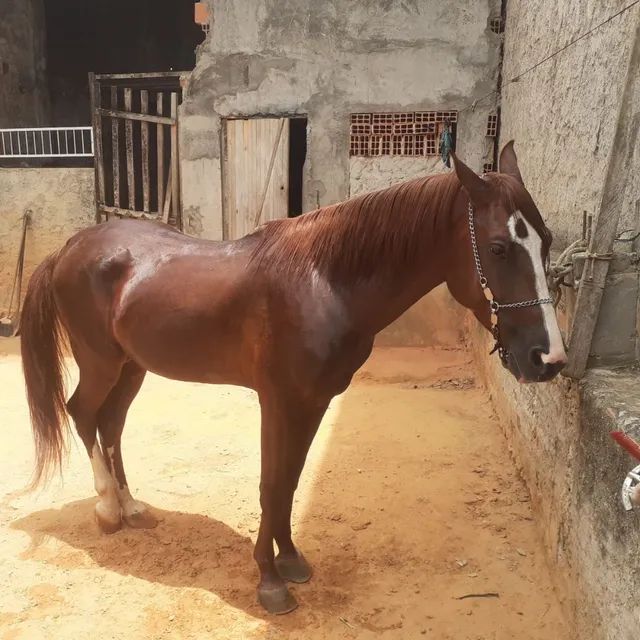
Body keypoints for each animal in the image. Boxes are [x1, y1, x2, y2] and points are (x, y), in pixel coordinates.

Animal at [20, 141, 564, 616]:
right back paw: (108, 510)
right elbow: (270, 483)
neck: (322, 282)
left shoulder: (314, 401)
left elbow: (292, 480)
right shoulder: (277, 400)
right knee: (83, 413)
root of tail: (69, 248)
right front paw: (269, 579)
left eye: (547, 241)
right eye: (498, 247)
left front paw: (290, 560)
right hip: (101, 363)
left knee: (111, 423)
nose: (548, 358)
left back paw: (131, 508)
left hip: (133, 366)